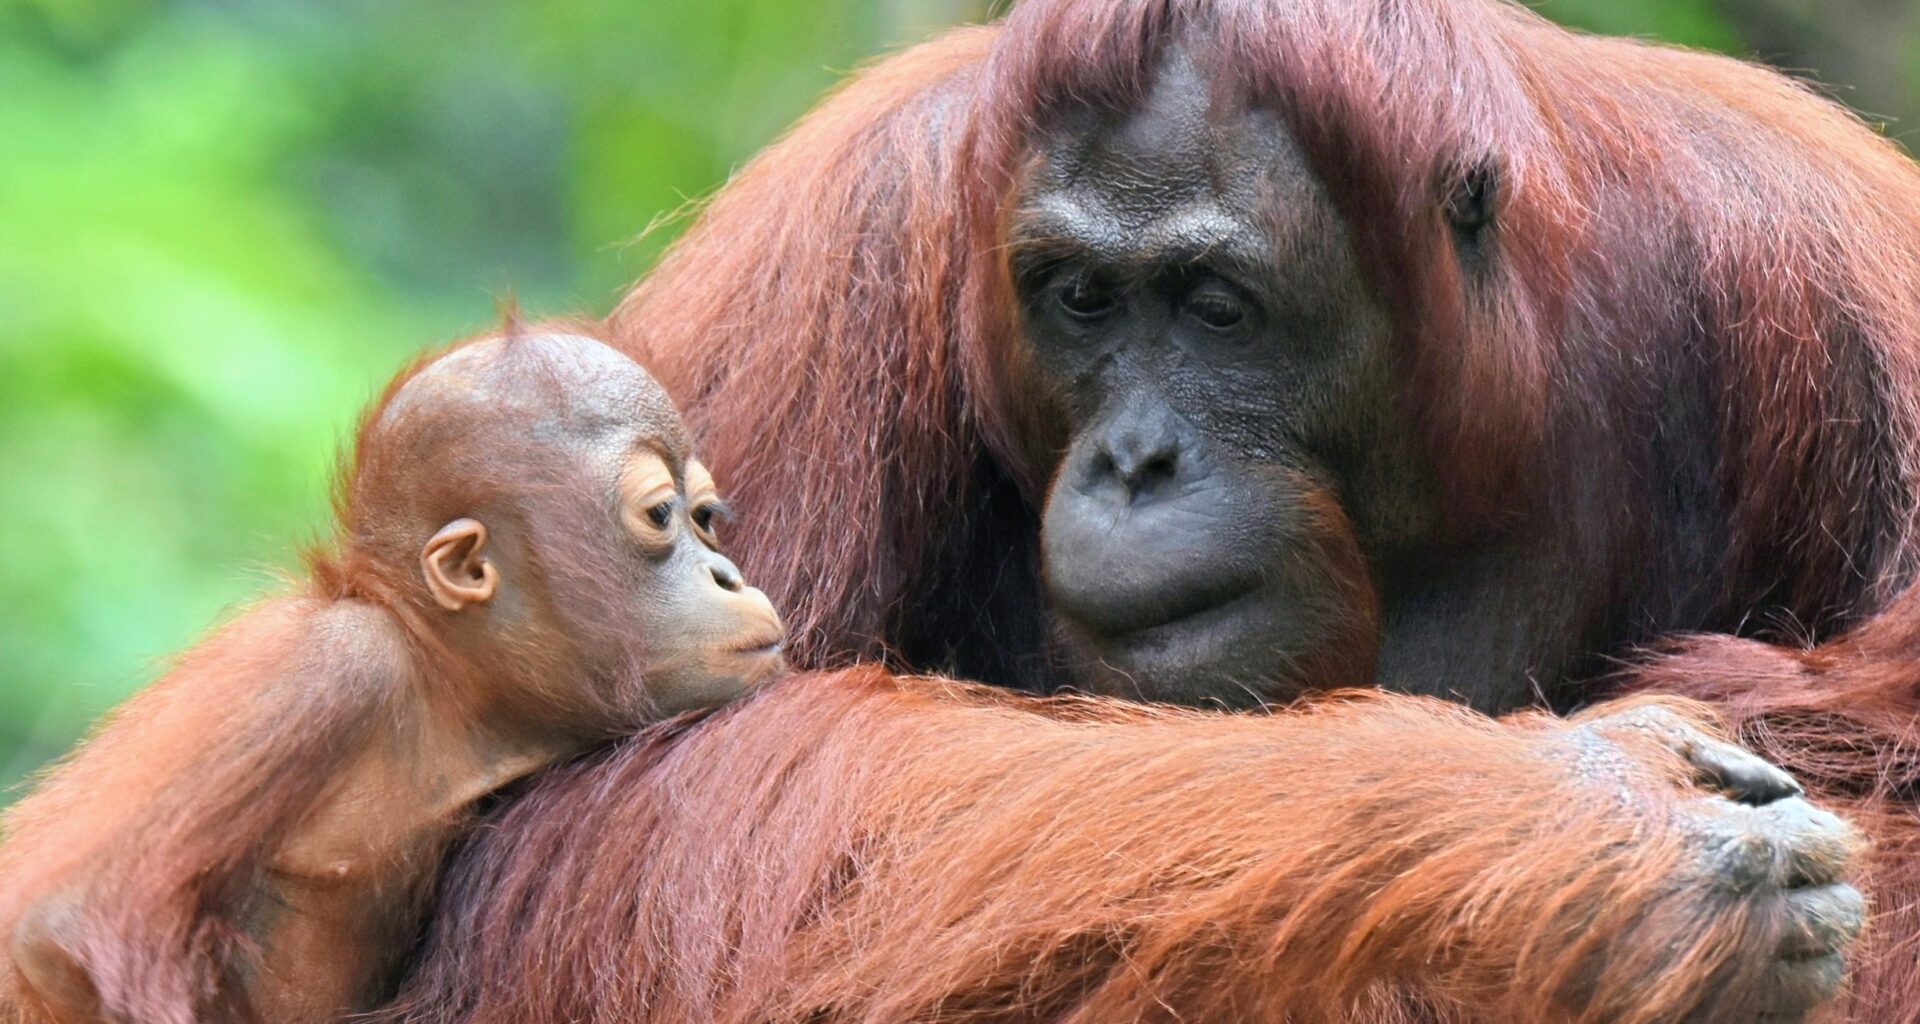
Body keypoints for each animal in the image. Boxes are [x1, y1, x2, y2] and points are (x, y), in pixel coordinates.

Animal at [0, 328, 785, 1023]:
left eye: (706, 516)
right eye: (660, 514)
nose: (729, 574)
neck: (438, 683)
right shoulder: (336, 671)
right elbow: (60, 930)